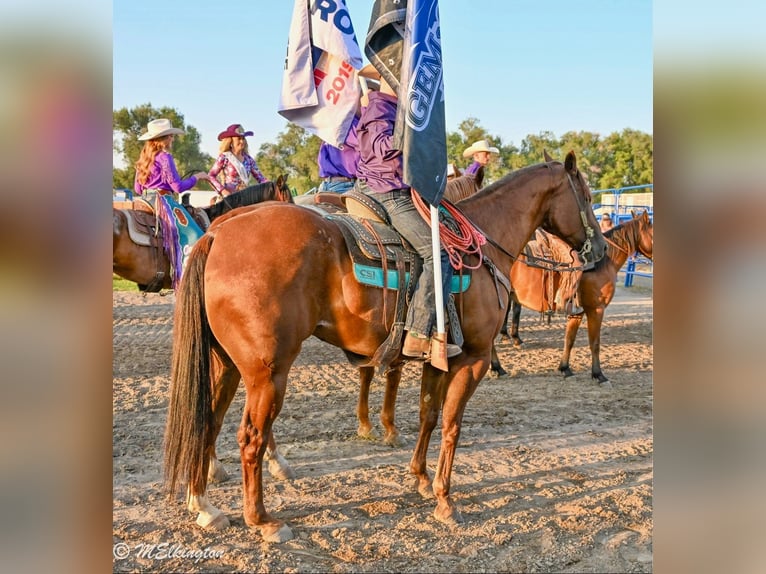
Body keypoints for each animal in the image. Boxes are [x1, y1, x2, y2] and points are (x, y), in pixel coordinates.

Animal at [163, 151, 607, 542]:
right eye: (585, 195)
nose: (601, 251)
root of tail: (218, 233)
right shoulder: (475, 359)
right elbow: (452, 425)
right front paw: (445, 499)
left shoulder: (440, 357)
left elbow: (429, 415)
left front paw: (421, 478)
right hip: (268, 373)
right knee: (251, 437)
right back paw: (262, 519)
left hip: (227, 365)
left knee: (208, 422)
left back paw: (203, 504)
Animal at [491, 210, 653, 385]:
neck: (602, 262)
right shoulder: (596, 310)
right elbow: (595, 343)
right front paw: (598, 374)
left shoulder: (577, 313)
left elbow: (569, 339)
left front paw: (565, 368)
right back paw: (497, 367)